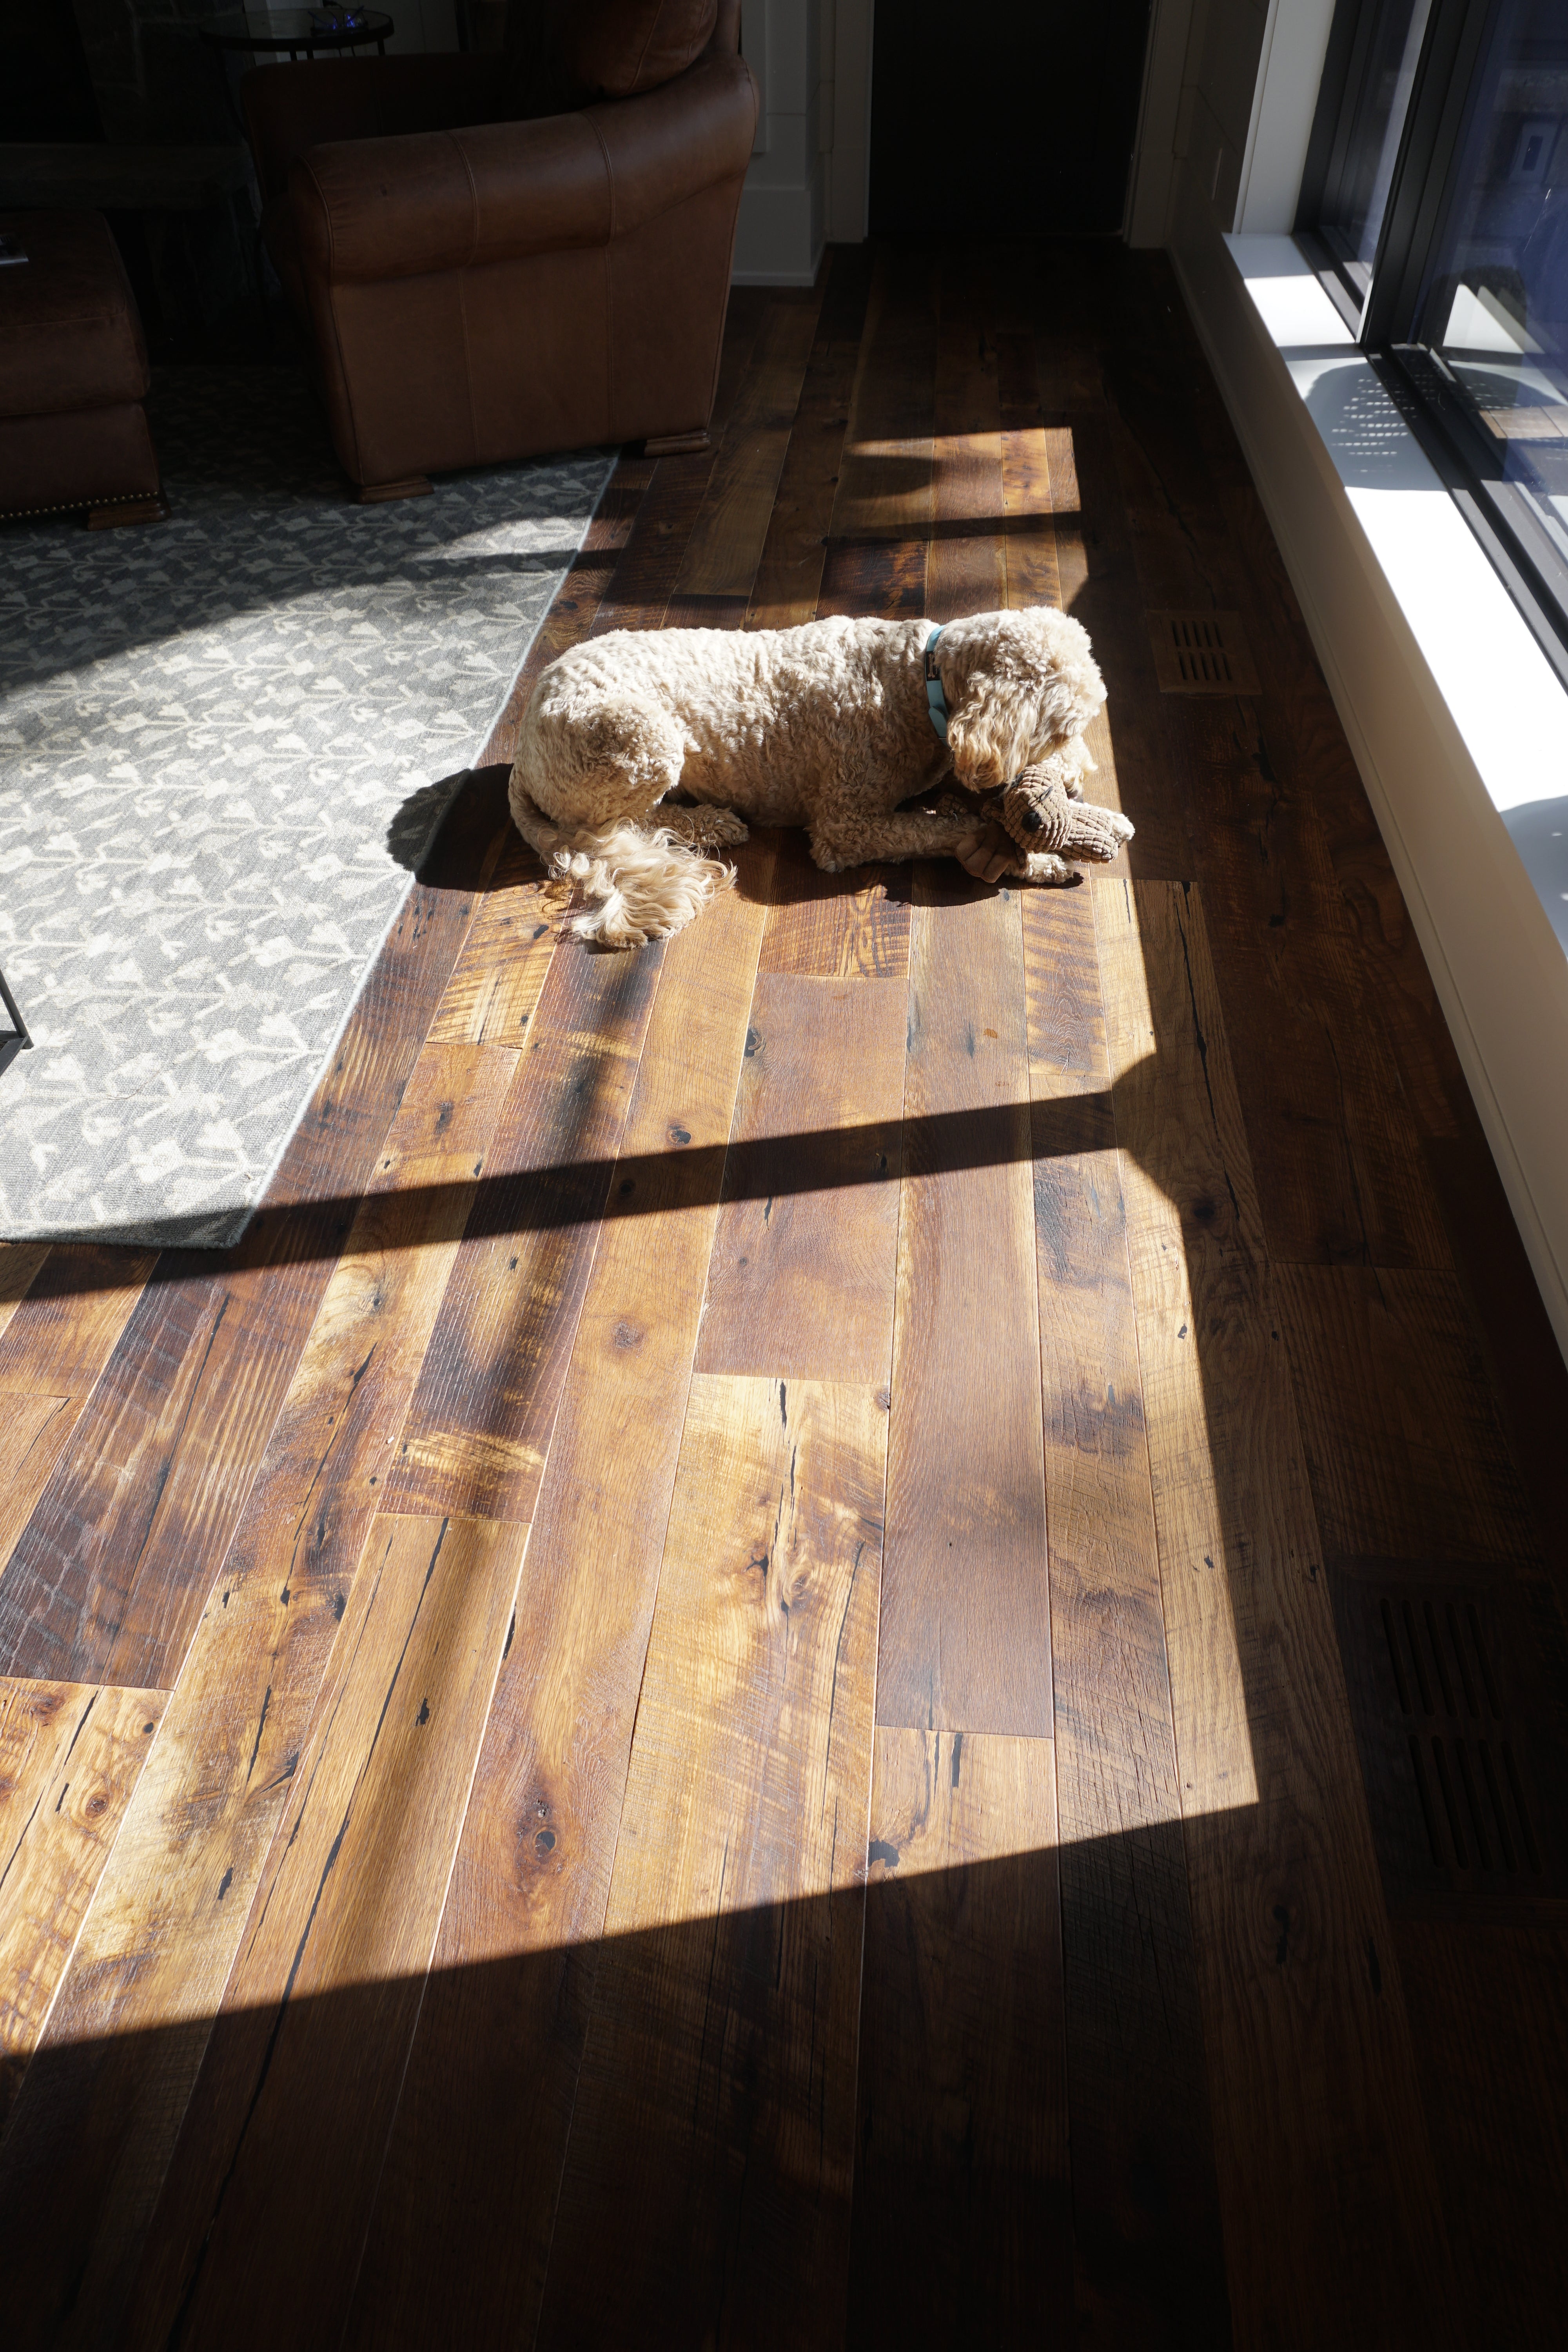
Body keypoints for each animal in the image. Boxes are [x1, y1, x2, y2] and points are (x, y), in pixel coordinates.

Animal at [510, 602, 1133, 941]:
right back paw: (711, 822)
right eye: (1063, 729)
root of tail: (522, 750)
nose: (1079, 781)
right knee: (609, 827)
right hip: (642, 741)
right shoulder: (846, 828)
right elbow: (944, 828)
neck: (919, 678)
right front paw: (1033, 857)